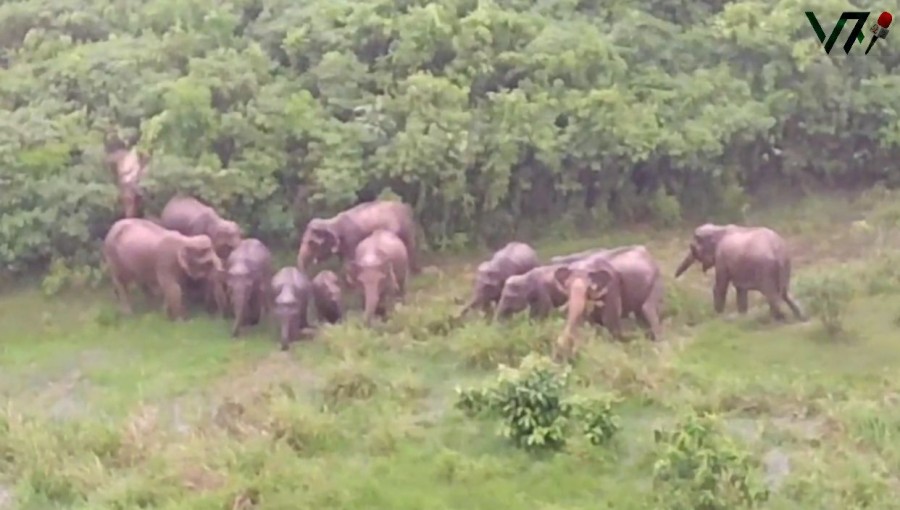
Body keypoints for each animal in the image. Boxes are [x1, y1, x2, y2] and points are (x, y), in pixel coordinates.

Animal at [672, 221, 804, 320]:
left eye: (694, 249)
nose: (674, 278)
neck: (718, 228)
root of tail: (778, 251)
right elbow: (740, 289)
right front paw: (742, 317)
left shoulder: (721, 258)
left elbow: (720, 286)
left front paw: (717, 316)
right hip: (785, 266)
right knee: (785, 293)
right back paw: (799, 316)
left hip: (766, 270)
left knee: (772, 294)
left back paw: (779, 318)